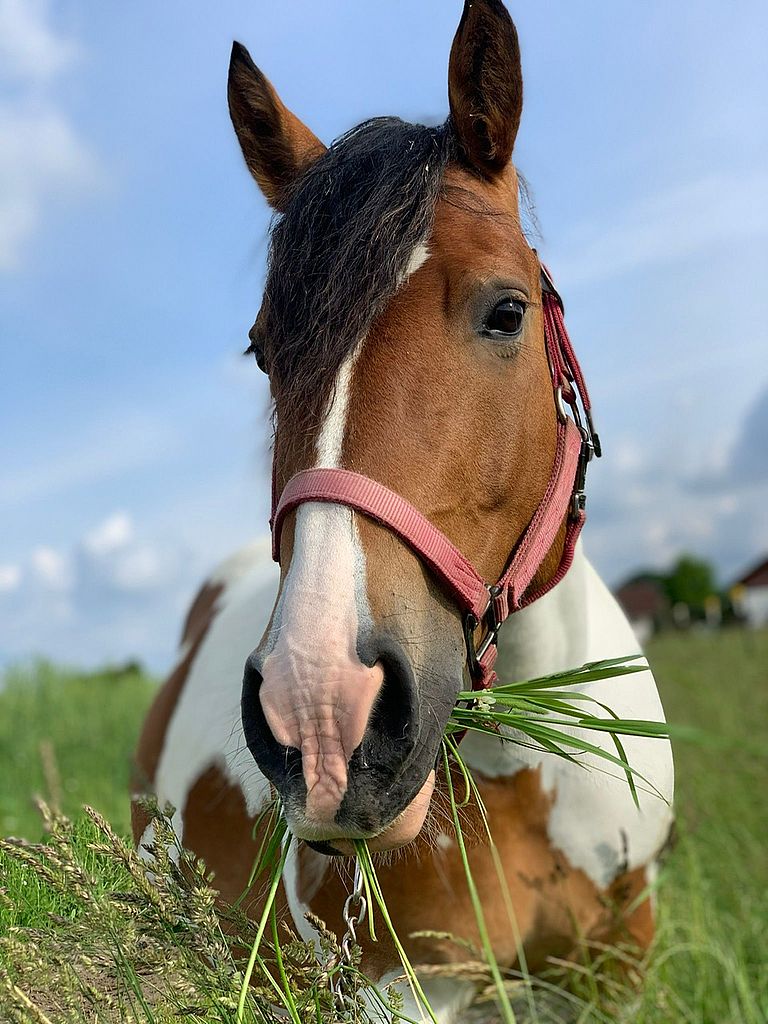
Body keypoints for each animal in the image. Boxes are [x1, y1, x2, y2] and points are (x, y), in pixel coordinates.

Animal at [131, 4, 671, 1019]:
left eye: (507, 311)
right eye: (264, 351)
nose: (319, 709)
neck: (527, 782)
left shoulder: (614, 976)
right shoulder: (404, 991)